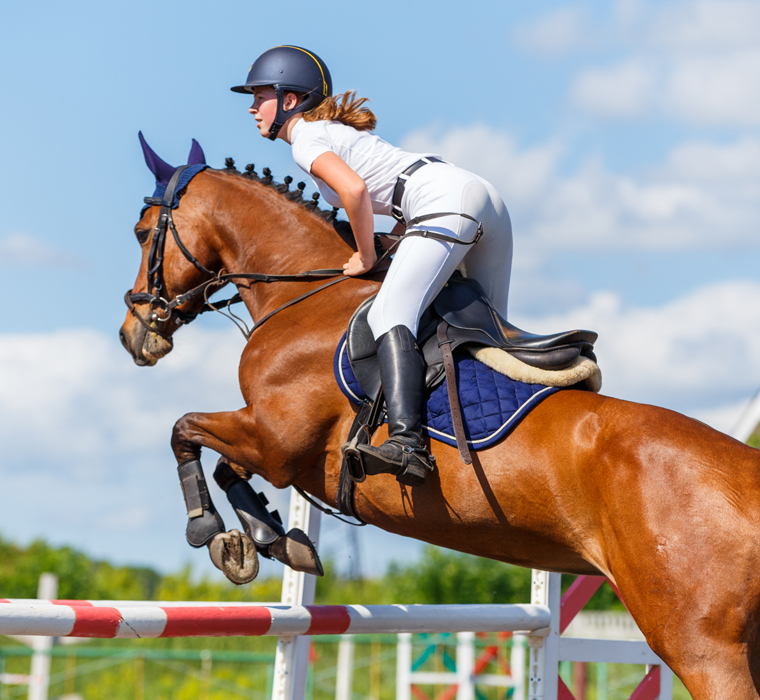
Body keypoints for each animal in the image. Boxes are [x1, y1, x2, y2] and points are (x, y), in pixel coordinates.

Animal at [119, 145, 760, 700]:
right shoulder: (277, 448)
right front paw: (269, 541)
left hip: (700, 647)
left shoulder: (276, 443)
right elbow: (226, 465)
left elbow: (185, 431)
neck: (306, 295)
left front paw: (213, 532)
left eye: (143, 233)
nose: (134, 335)